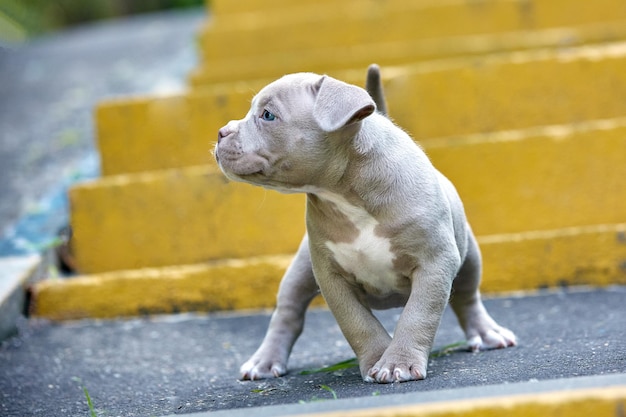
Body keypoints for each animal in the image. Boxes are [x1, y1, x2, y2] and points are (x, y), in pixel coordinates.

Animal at [212, 63, 516, 382]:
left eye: (268, 115)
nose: (221, 132)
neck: (348, 193)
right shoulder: (331, 276)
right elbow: (358, 324)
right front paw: (376, 359)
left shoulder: (434, 262)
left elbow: (418, 315)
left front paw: (398, 362)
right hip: (300, 270)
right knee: (288, 311)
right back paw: (264, 361)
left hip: (469, 257)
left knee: (467, 296)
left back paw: (487, 333)